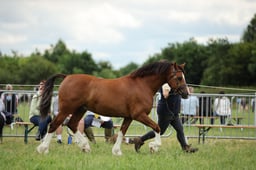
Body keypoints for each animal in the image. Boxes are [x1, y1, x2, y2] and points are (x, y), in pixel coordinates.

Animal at [37, 61, 189, 155]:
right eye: (179, 77)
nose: (186, 94)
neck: (142, 85)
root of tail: (67, 77)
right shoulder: (139, 115)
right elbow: (157, 127)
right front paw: (153, 146)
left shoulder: (128, 117)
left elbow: (122, 132)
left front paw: (117, 152)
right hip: (66, 109)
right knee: (54, 124)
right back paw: (43, 149)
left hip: (80, 109)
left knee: (72, 124)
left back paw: (85, 147)